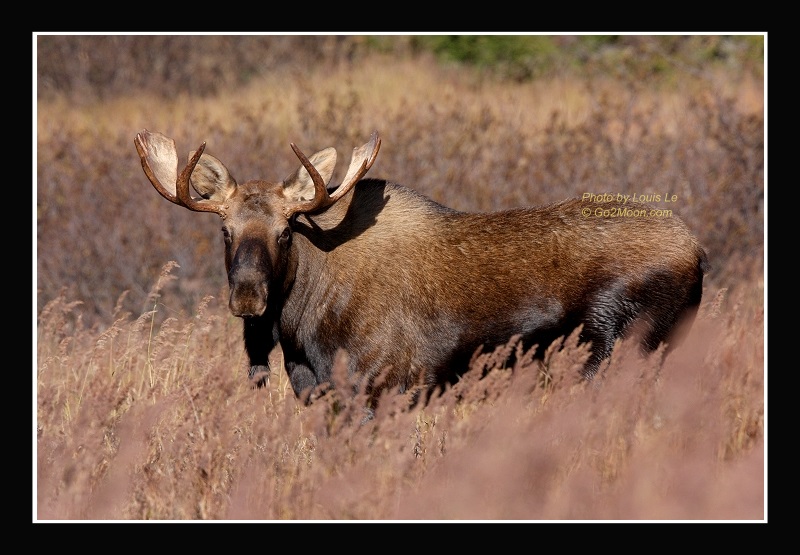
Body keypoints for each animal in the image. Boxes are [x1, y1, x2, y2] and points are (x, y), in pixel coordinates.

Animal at [135, 129, 709, 407]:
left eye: (285, 232)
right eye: (225, 231)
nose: (248, 297)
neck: (297, 329)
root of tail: (699, 252)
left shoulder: (382, 387)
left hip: (617, 349)